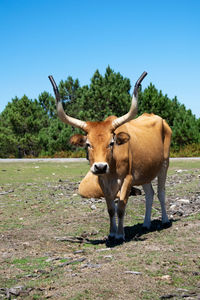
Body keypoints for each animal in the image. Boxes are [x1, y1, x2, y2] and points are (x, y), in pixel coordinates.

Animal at [48, 72, 172, 241]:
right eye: (88, 144)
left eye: (111, 142)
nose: (100, 166)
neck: (112, 170)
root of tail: (160, 119)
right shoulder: (103, 181)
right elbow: (111, 209)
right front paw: (112, 232)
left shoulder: (128, 178)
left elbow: (120, 207)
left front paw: (120, 234)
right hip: (145, 170)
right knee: (150, 194)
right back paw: (146, 223)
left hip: (164, 163)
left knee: (161, 192)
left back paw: (165, 220)